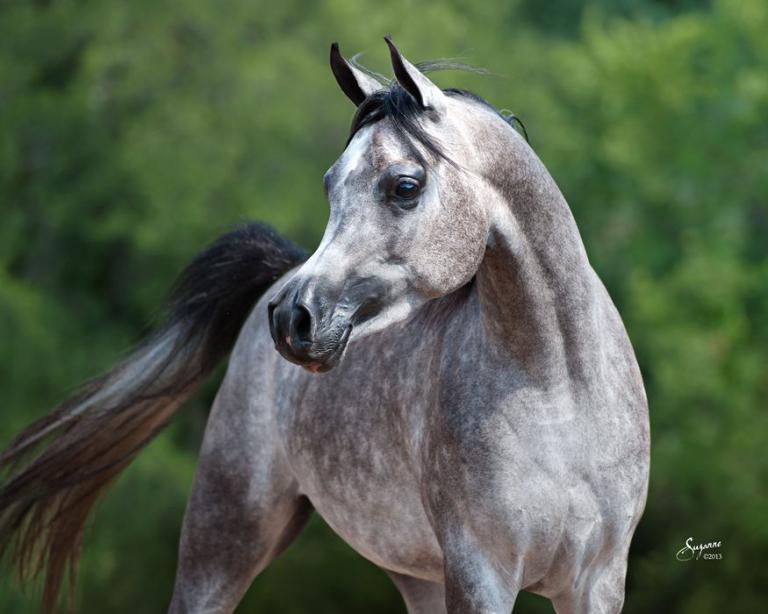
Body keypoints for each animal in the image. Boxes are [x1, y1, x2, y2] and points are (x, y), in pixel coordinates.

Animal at [0, 38, 650, 613]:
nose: (294, 318)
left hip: (413, 572)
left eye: (405, 184)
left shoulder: (595, 584)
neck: (556, 392)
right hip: (224, 540)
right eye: (330, 182)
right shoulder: (482, 575)